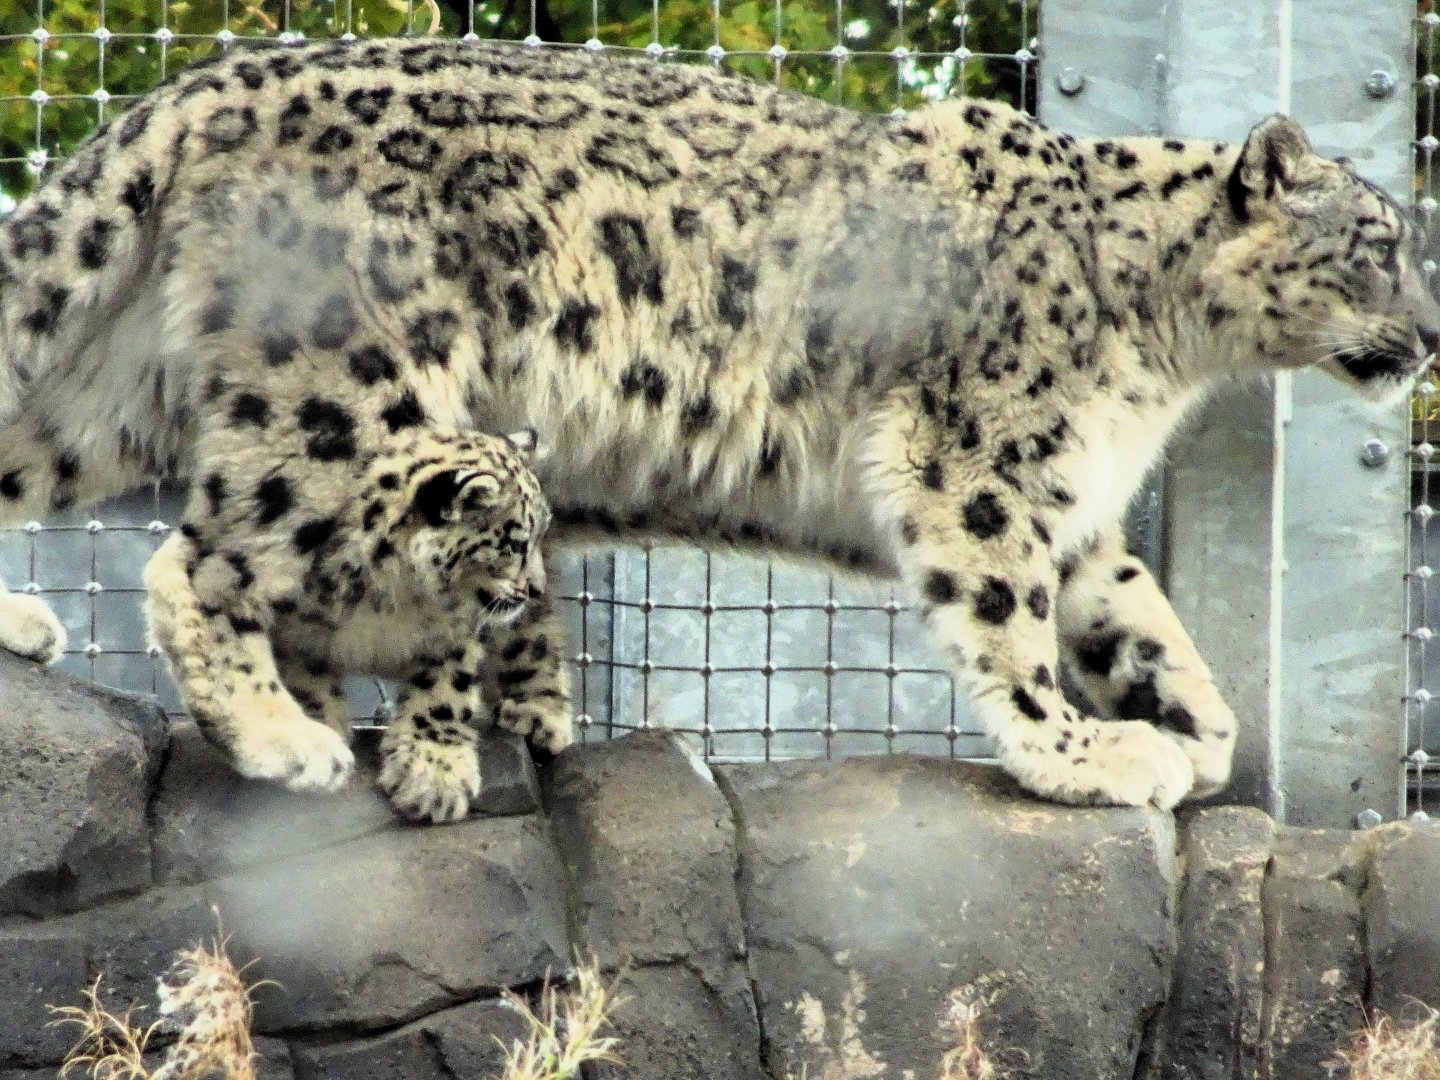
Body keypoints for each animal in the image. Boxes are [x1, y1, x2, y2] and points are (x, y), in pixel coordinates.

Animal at [141, 426, 560, 822]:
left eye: (539, 536)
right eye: (517, 543)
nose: (535, 588)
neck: (392, 596)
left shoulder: (455, 631)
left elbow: (445, 690)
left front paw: (432, 776)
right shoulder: (289, 623)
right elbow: (301, 678)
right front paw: (322, 730)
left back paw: (538, 715)